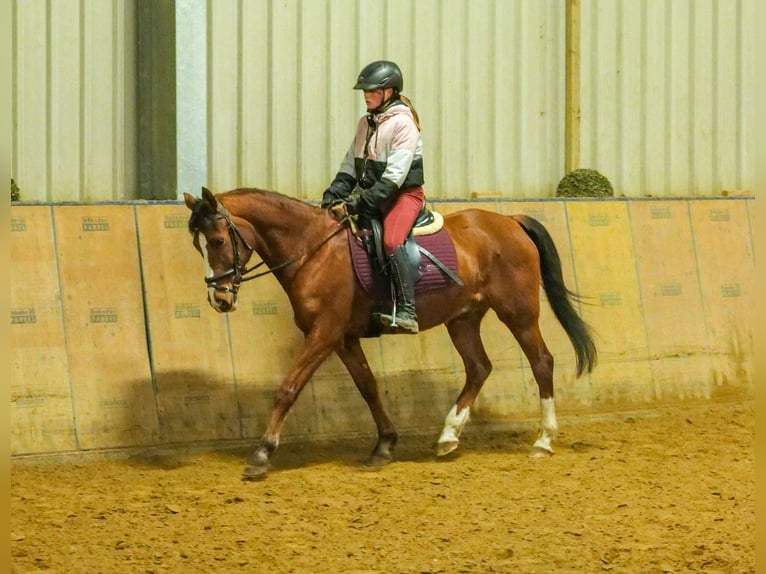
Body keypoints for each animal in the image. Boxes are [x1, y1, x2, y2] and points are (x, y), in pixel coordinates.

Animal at [183, 188, 596, 482]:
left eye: (217, 241)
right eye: (197, 245)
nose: (219, 300)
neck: (314, 251)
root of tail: (509, 221)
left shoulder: (324, 334)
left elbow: (288, 388)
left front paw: (261, 454)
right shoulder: (344, 339)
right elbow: (368, 387)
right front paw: (384, 445)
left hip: (518, 312)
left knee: (541, 362)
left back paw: (543, 441)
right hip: (463, 318)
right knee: (479, 367)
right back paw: (448, 437)